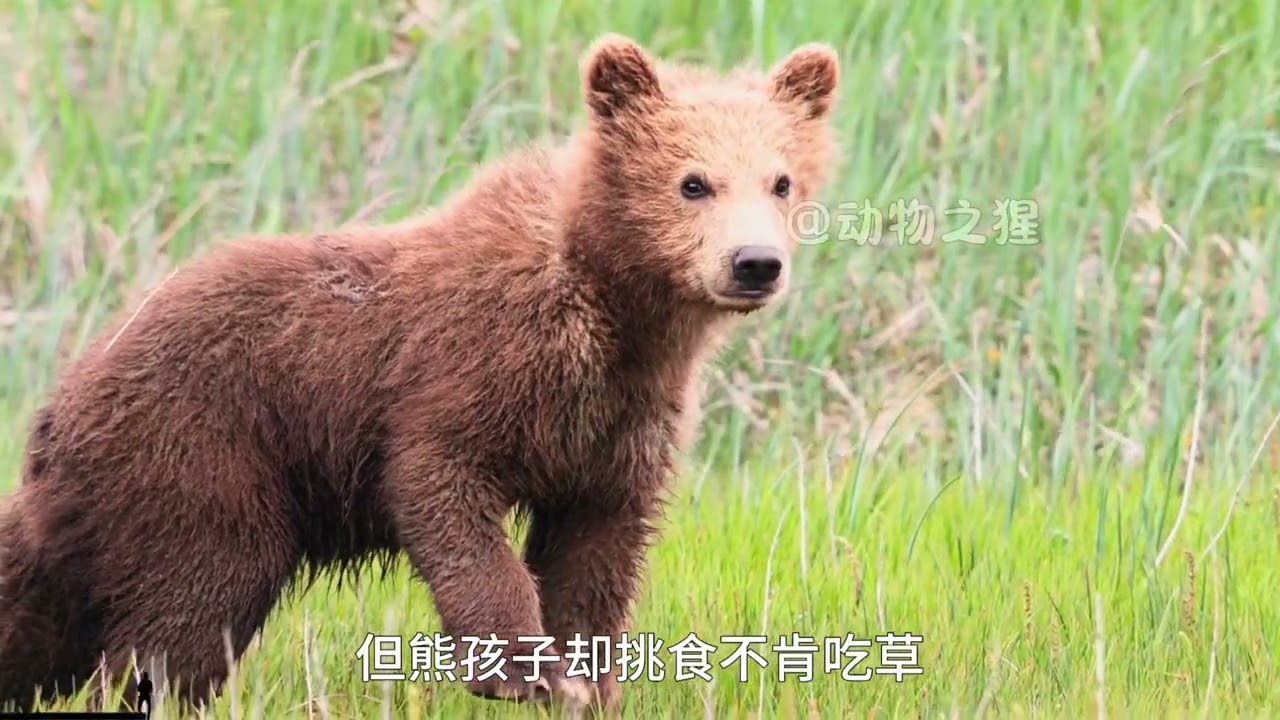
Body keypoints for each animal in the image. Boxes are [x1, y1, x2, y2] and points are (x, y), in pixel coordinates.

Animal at [0, 32, 841, 715]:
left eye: (781, 181)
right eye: (692, 181)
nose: (754, 263)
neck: (615, 312)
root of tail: (64, 399)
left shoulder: (620, 421)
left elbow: (598, 546)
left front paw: (586, 679)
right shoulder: (471, 372)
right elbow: (444, 489)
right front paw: (518, 670)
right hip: (203, 452)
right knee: (191, 605)